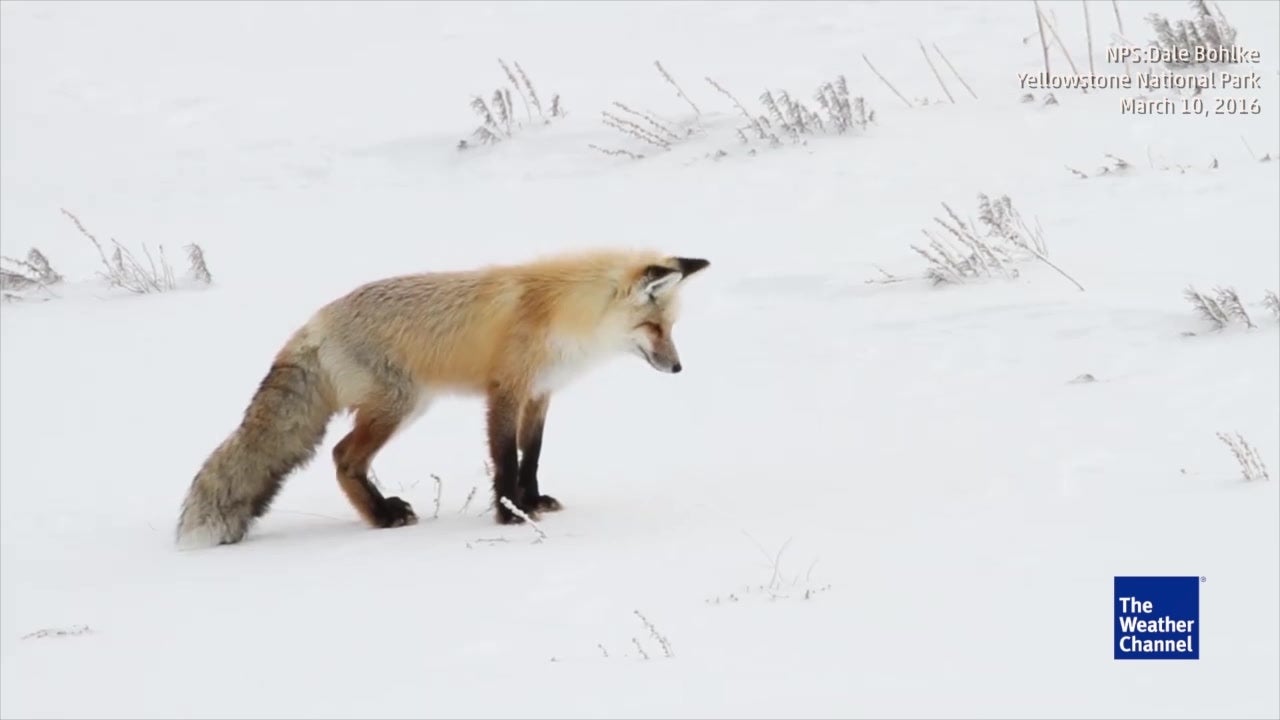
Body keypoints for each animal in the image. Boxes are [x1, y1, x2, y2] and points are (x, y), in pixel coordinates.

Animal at [175, 248, 710, 549]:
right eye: (654, 327)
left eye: (671, 328)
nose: (679, 368)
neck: (559, 310)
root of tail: (314, 322)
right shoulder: (505, 390)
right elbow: (505, 459)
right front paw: (509, 515)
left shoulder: (539, 394)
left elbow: (532, 456)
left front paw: (532, 501)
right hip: (400, 406)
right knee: (343, 457)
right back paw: (383, 517)